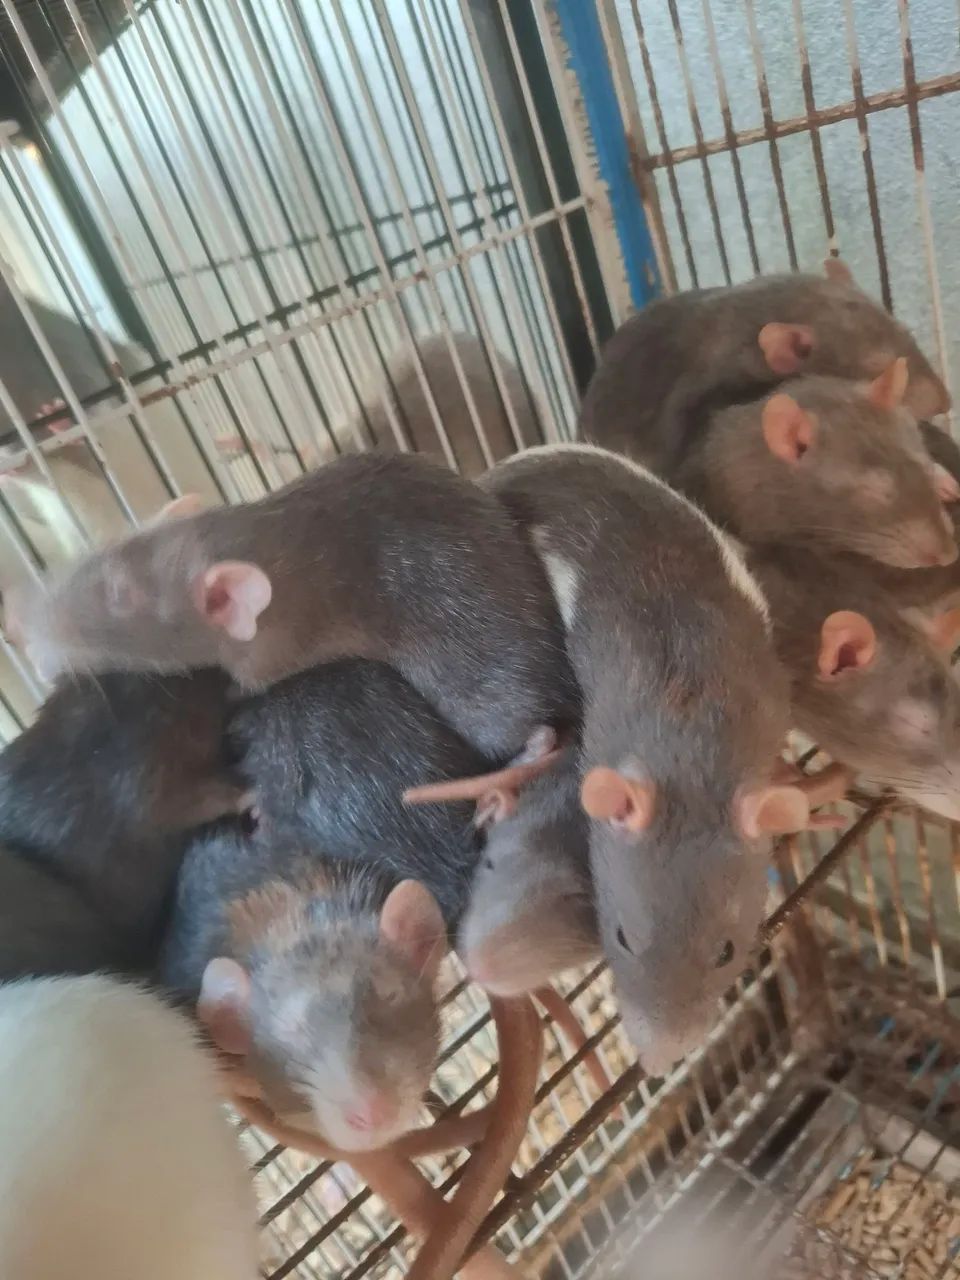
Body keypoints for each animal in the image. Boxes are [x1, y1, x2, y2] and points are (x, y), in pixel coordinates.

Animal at [8, 451, 578, 762]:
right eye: (99, 552)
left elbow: (249, 683)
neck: (246, 538)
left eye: (119, 597)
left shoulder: (267, 655)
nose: (20, 629)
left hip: (475, 694)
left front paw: (231, 695)